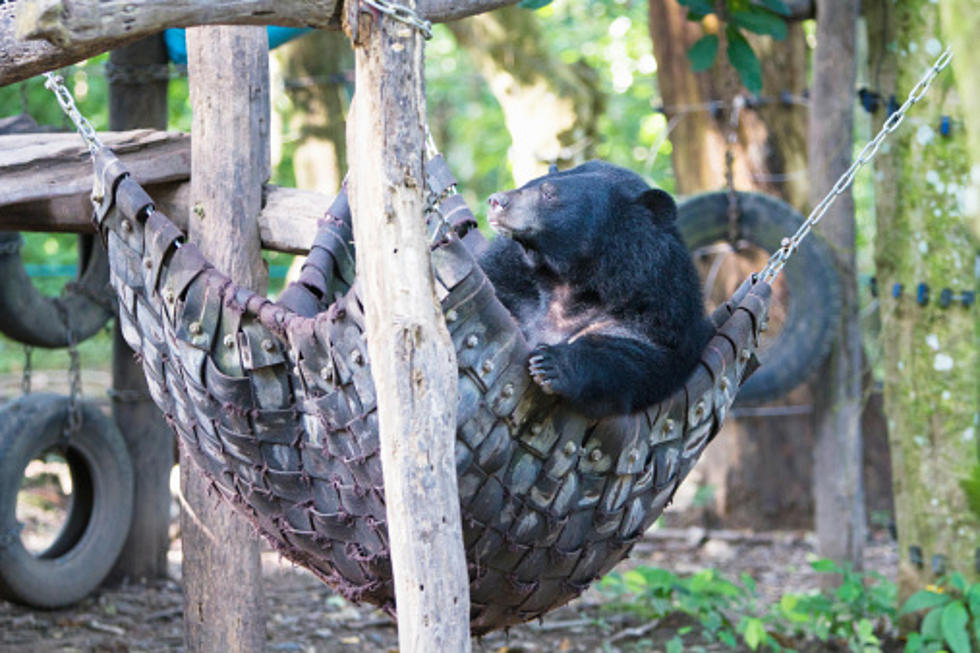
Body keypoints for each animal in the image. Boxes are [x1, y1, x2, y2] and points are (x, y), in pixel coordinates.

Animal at [480, 160, 712, 420]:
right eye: (528, 183)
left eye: (549, 194)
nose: (496, 201)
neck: (567, 278)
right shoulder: (509, 275)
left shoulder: (662, 306)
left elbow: (642, 354)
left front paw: (550, 364)